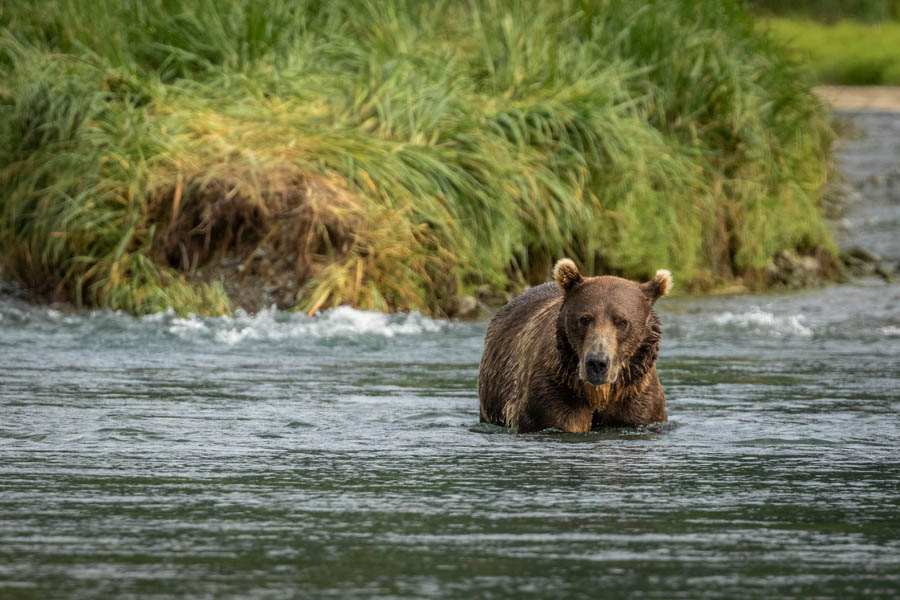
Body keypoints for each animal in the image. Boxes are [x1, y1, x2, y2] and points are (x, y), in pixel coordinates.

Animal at [478, 258, 671, 433]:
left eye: (622, 321)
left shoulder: (635, 396)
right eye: (584, 318)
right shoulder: (555, 390)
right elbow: (559, 419)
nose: (597, 363)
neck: (600, 393)